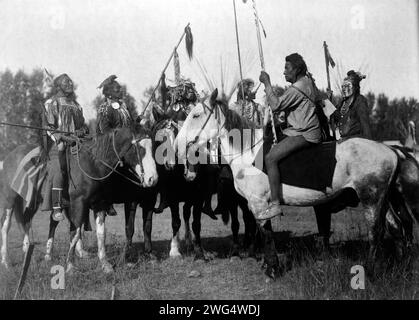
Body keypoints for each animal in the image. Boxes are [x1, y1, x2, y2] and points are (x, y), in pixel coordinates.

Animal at [0, 124, 158, 272]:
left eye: (152, 147)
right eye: (140, 148)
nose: (153, 178)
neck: (93, 164)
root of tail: (8, 157)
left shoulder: (99, 204)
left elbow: (101, 233)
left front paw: (105, 264)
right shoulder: (79, 202)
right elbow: (75, 233)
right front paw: (70, 265)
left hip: (33, 201)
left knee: (26, 221)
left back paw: (32, 253)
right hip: (10, 198)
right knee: (6, 225)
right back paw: (6, 261)